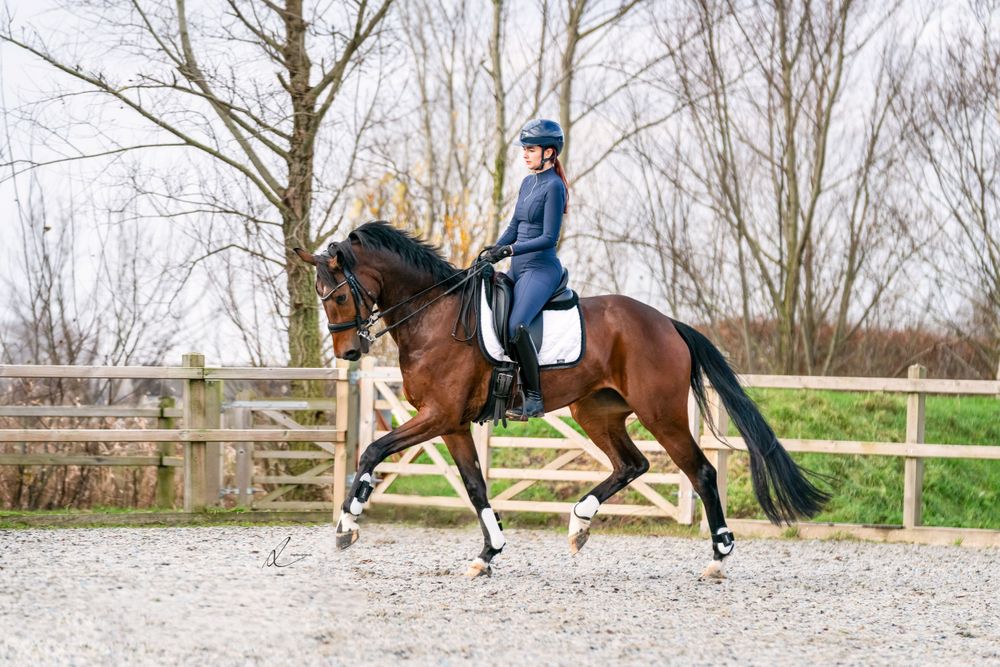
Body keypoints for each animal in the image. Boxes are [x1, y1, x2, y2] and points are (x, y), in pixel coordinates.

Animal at [294, 221, 829, 579]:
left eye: (337, 297)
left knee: (700, 471)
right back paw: (579, 524)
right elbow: (474, 486)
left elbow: (373, 449)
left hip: (661, 413)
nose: (349, 353)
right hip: (595, 411)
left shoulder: (438, 415)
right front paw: (488, 554)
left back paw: (718, 557)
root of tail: (667, 323)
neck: (434, 315)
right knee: (632, 464)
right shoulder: (453, 423)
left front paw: (348, 523)